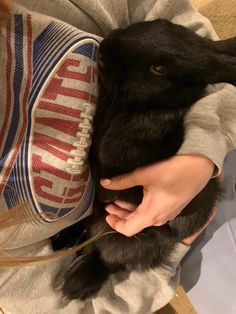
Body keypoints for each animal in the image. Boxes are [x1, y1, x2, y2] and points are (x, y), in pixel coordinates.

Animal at [54, 19, 235, 300]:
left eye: (159, 69)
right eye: (160, 22)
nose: (105, 49)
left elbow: (146, 130)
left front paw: (120, 142)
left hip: (127, 239)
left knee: (108, 259)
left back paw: (75, 284)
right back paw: (63, 238)